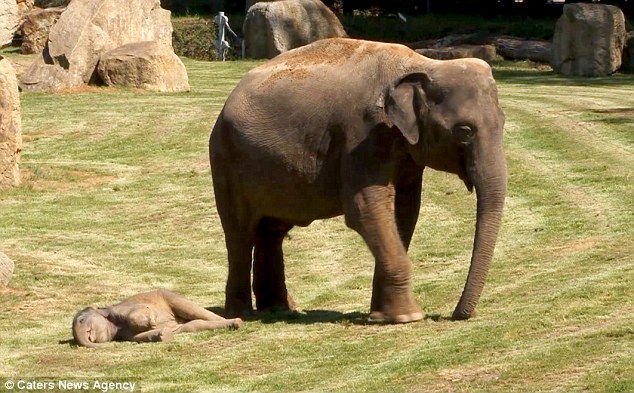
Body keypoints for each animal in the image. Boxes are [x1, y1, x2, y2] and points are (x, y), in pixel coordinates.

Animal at [72, 288, 242, 346]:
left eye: (81, 320)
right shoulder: (124, 334)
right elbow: (141, 336)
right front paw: (163, 334)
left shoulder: (121, 309)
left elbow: (141, 310)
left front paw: (152, 322)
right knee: (194, 325)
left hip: (168, 296)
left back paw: (237, 322)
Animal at [210, 38, 506, 324]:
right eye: (464, 131)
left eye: (503, 123)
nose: (458, 315)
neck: (422, 64)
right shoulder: (362, 134)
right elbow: (365, 208)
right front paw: (407, 317)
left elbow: (405, 212)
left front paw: (383, 315)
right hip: (226, 162)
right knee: (240, 233)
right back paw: (241, 313)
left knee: (271, 231)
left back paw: (279, 310)